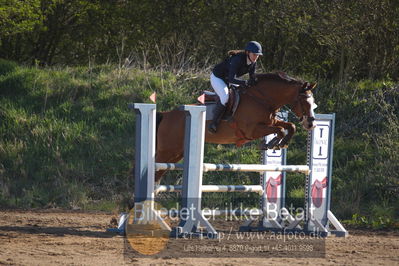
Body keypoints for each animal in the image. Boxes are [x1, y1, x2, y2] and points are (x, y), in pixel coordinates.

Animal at [155, 72, 318, 185]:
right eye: (304, 101)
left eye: (313, 101)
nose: (311, 124)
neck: (261, 99)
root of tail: (166, 115)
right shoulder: (251, 131)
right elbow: (280, 129)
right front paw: (272, 144)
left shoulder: (271, 121)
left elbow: (290, 126)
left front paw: (280, 143)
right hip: (167, 151)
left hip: (177, 153)